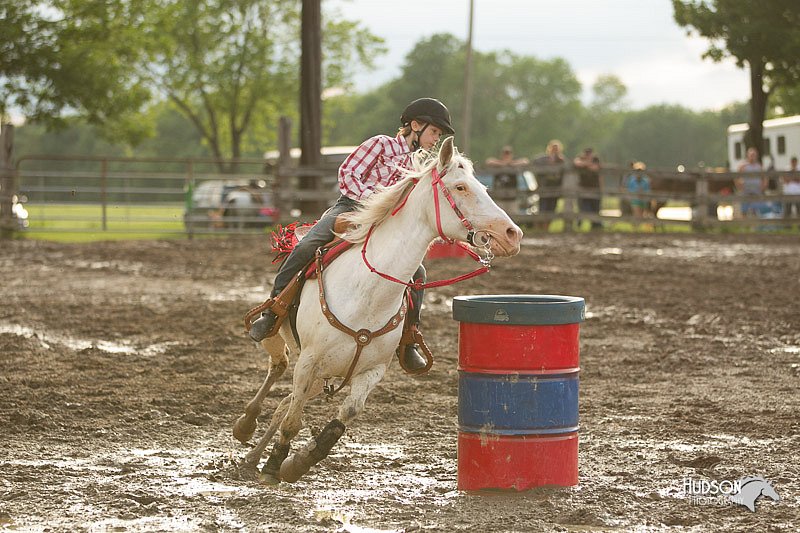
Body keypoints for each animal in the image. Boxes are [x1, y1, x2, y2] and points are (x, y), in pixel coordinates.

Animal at [234, 136, 520, 482]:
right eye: (461, 187)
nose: (512, 234)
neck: (367, 292)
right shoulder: (309, 360)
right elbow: (293, 420)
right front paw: (276, 464)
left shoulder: (372, 371)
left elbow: (343, 416)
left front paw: (298, 462)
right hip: (285, 342)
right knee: (278, 365)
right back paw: (246, 425)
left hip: (322, 373)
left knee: (282, 405)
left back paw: (252, 457)